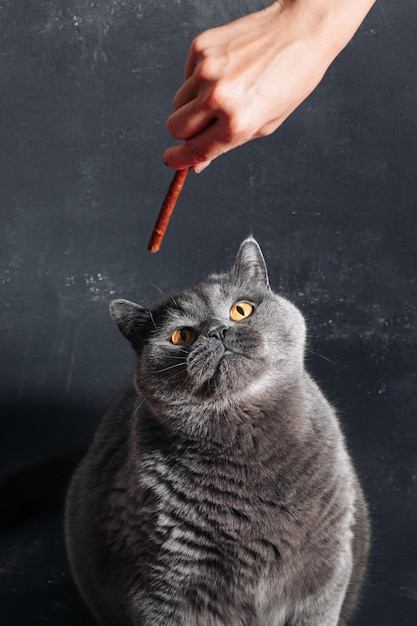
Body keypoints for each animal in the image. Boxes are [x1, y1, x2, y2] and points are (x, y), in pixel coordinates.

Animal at [66, 238, 368, 624]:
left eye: (241, 310)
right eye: (181, 335)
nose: (217, 331)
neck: (249, 446)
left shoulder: (324, 573)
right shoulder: (161, 590)